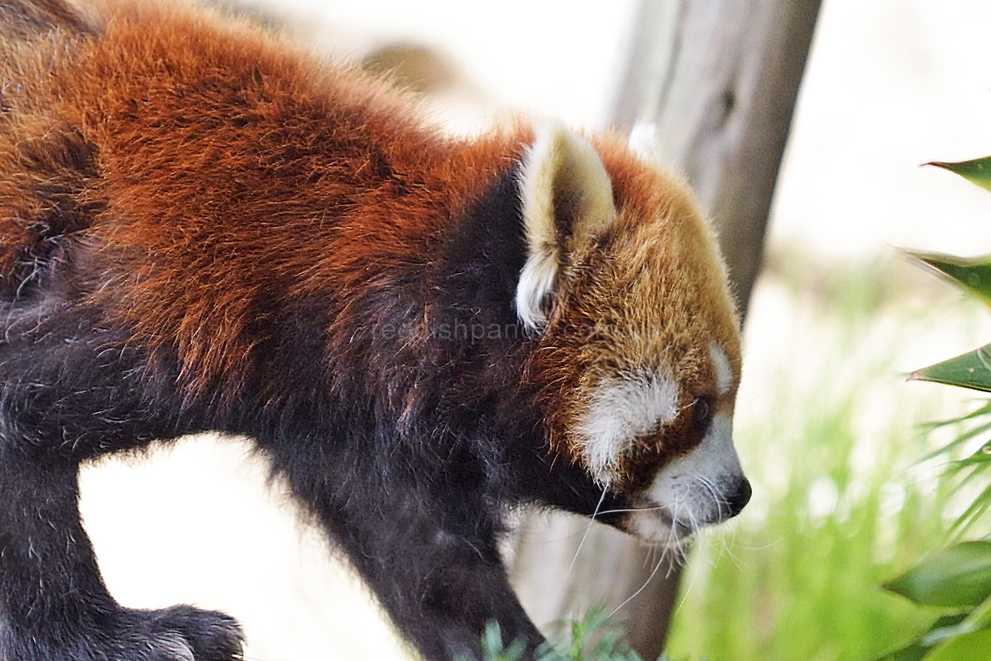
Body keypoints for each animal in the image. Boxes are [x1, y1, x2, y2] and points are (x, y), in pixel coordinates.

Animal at [0, 1, 748, 660]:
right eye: (697, 407)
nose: (737, 494)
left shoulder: (348, 424)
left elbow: (437, 572)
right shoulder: (167, 287)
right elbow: (18, 420)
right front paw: (112, 636)